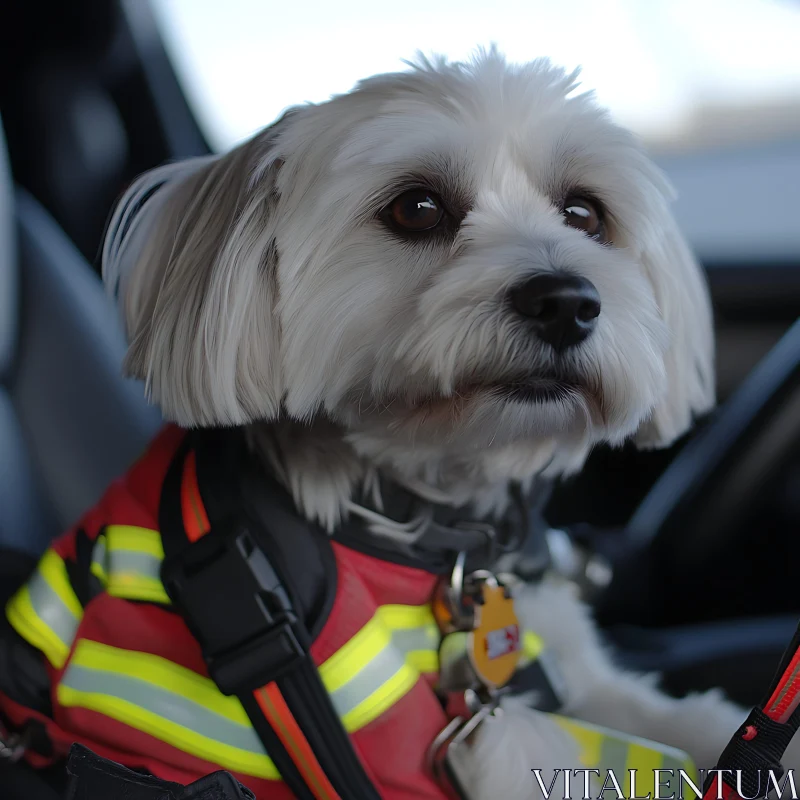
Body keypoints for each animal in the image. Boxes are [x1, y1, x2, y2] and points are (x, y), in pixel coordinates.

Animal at [101, 50, 768, 800]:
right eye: (416, 208)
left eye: (584, 212)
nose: (566, 302)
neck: (439, 528)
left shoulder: (570, 663)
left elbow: (682, 722)